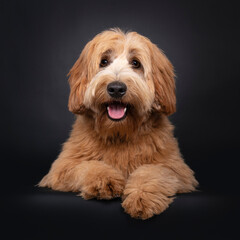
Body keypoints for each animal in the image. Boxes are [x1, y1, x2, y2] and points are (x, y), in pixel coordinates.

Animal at [39, 28, 197, 219]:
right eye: (104, 61)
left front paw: (141, 197)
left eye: (136, 63)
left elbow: (152, 172)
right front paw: (105, 181)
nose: (116, 88)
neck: (119, 133)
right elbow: (88, 166)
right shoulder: (62, 168)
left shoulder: (177, 169)